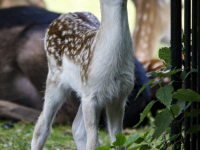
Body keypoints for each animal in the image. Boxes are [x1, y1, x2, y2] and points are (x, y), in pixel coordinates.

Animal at [31, 0, 134, 149]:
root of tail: (58, 19)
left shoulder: (119, 96)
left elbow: (118, 141)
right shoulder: (91, 96)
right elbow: (92, 143)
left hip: (83, 90)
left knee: (77, 129)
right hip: (55, 78)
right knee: (42, 127)